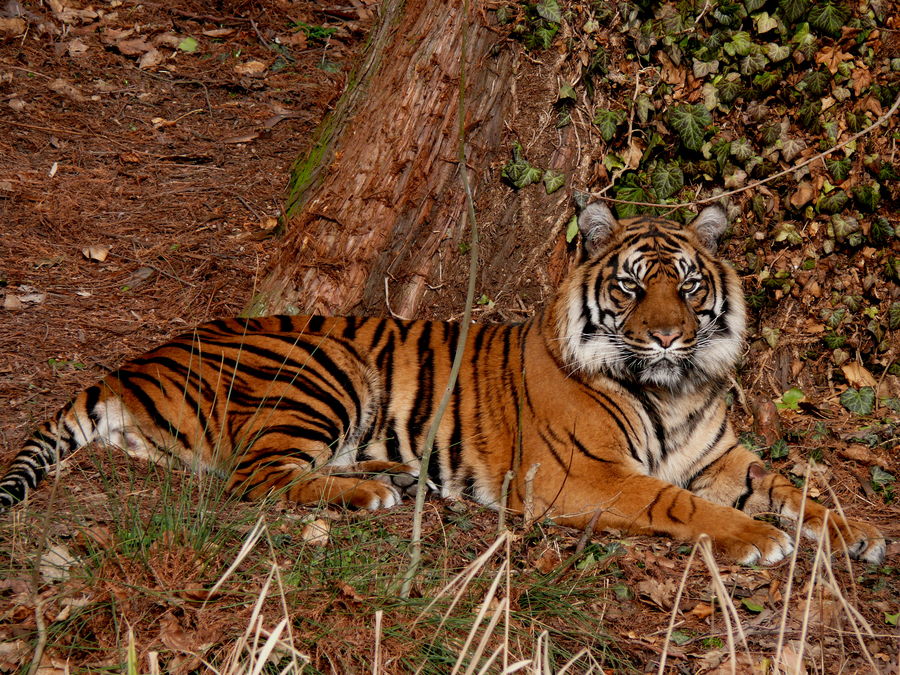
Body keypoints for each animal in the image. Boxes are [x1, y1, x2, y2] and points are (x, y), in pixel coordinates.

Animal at [0, 203, 884, 568]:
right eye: (633, 287)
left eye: (690, 286)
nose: (668, 334)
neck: (672, 387)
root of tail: (131, 362)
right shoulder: (581, 474)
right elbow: (678, 505)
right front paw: (759, 539)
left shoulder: (720, 456)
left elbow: (793, 485)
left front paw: (860, 529)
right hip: (327, 368)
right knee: (253, 480)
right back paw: (370, 492)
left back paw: (392, 476)